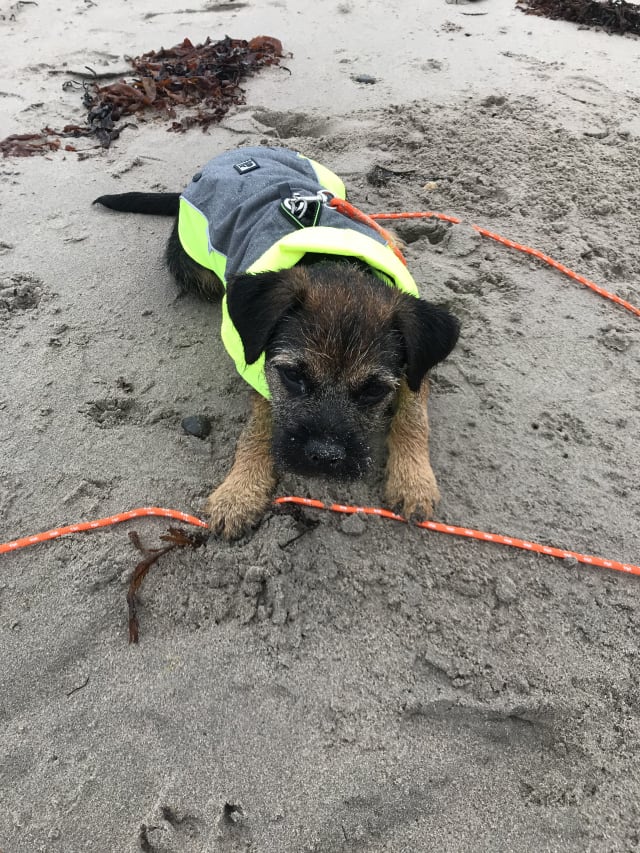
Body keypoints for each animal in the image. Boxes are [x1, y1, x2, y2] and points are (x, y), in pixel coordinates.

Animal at [94, 143, 460, 536]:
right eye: (293, 376)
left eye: (374, 390)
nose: (323, 457)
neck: (333, 258)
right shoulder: (258, 362)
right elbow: (259, 426)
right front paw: (240, 491)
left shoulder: (417, 366)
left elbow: (413, 414)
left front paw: (414, 481)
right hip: (195, 270)